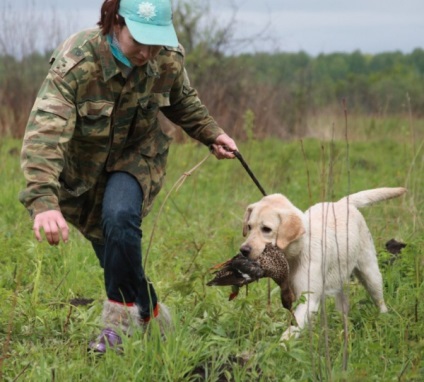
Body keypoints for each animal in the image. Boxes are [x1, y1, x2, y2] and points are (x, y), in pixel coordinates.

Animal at [240, 188, 406, 340]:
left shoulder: (309, 299)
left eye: (266, 229)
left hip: (370, 274)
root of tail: (342, 203)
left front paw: (281, 345)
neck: (297, 252)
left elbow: (293, 328)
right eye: (249, 227)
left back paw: (384, 319)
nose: (243, 250)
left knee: (380, 301)